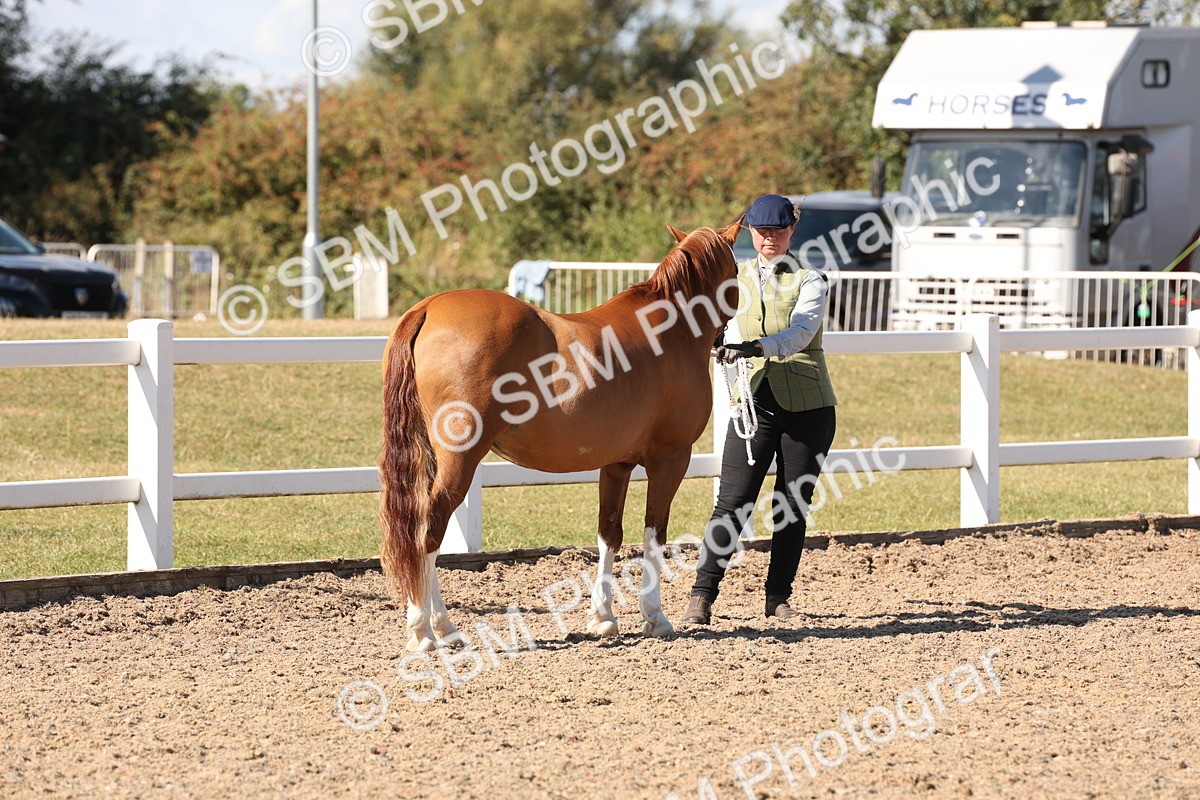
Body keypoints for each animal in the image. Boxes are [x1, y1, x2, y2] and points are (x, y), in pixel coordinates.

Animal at [379, 218, 744, 651]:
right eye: (737, 270)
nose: (726, 342)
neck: (671, 330)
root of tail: (429, 307)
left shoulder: (617, 464)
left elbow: (610, 534)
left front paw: (604, 618)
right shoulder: (671, 459)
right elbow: (654, 534)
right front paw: (655, 617)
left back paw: (442, 629)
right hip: (460, 457)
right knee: (429, 530)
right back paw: (428, 630)